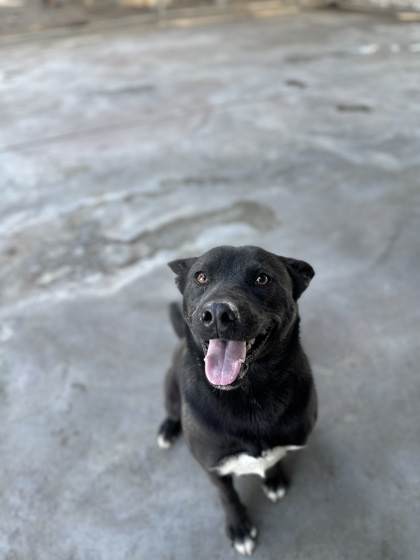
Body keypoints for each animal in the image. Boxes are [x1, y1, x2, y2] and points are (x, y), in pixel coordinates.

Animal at [158, 246, 318, 556]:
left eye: (262, 279)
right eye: (201, 277)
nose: (218, 313)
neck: (250, 394)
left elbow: (275, 458)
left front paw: (274, 479)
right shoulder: (212, 467)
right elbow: (228, 497)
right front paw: (240, 529)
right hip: (170, 390)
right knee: (171, 411)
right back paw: (168, 430)